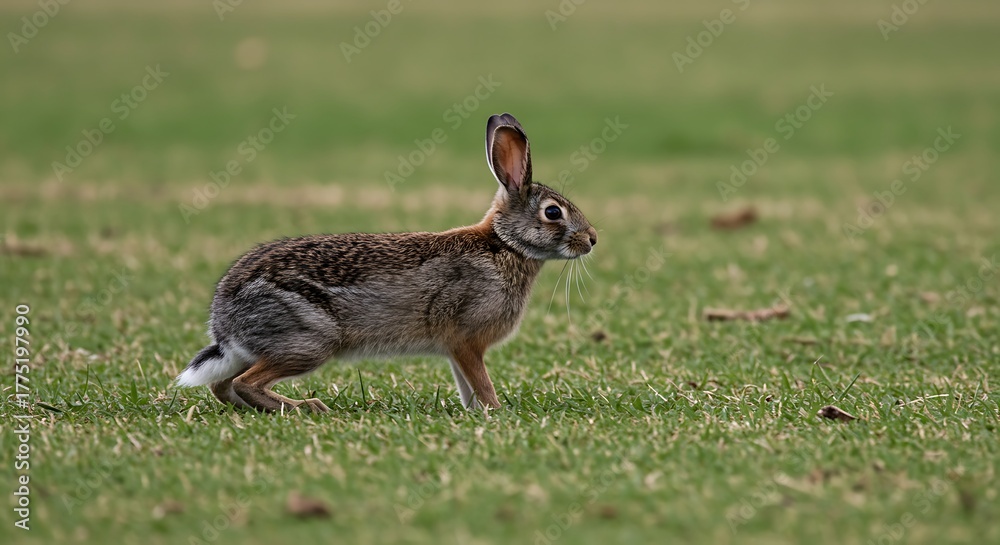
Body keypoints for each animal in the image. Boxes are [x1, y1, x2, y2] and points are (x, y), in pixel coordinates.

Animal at [175, 113, 598, 412]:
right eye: (553, 213)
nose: (592, 239)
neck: (505, 245)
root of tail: (223, 320)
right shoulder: (465, 338)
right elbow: (479, 379)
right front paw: (496, 410)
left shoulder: (456, 348)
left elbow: (467, 384)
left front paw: (479, 411)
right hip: (309, 340)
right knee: (246, 383)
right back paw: (307, 406)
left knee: (222, 385)